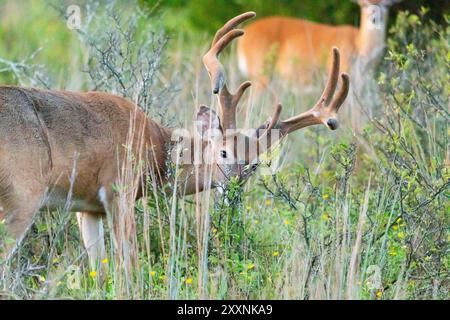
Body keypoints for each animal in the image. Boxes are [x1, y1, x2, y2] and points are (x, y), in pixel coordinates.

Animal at [0, 13, 350, 272]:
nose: (233, 189)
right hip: (23, 194)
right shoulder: (118, 189)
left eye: (254, 165)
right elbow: (130, 265)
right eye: (224, 151)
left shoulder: (88, 208)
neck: (156, 147)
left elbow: (99, 270)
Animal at [237, 0, 402, 92]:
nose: (374, 17)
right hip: (260, 72)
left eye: (386, 4)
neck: (359, 46)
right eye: (363, 4)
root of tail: (243, 39)